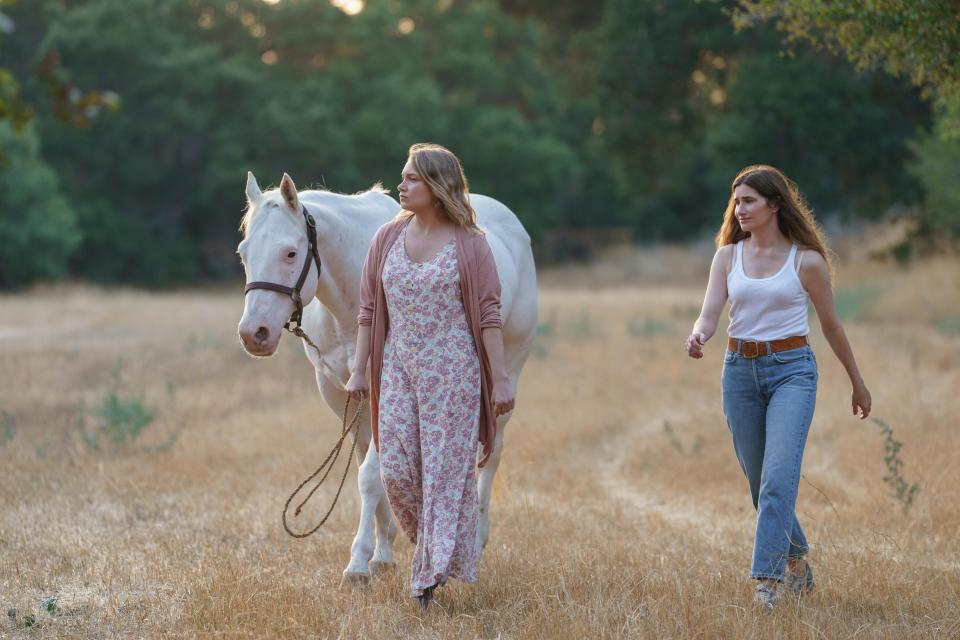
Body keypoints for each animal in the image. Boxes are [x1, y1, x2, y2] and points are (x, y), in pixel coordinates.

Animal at [236, 172, 536, 584]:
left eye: (291, 253)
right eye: (243, 252)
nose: (255, 334)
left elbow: (369, 476)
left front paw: (358, 563)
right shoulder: (342, 395)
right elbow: (373, 470)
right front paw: (382, 552)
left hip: (505, 380)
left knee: (490, 457)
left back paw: (474, 544)